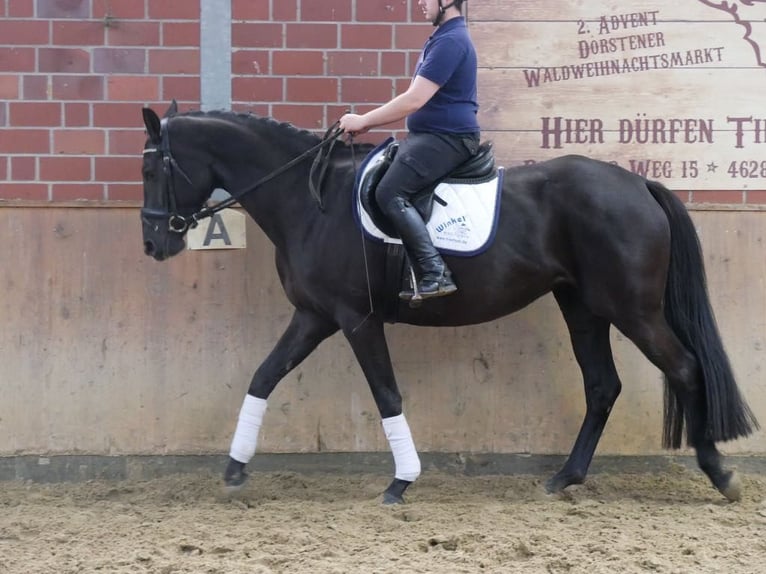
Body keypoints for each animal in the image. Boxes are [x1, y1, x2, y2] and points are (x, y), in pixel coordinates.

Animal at [141, 102, 760, 504]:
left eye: (151, 168)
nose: (153, 244)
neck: (310, 200)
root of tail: (637, 185)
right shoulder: (314, 316)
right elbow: (264, 376)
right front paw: (234, 469)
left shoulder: (355, 319)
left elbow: (386, 393)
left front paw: (401, 481)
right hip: (582, 307)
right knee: (603, 386)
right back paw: (566, 478)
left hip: (632, 310)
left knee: (685, 368)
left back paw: (719, 474)